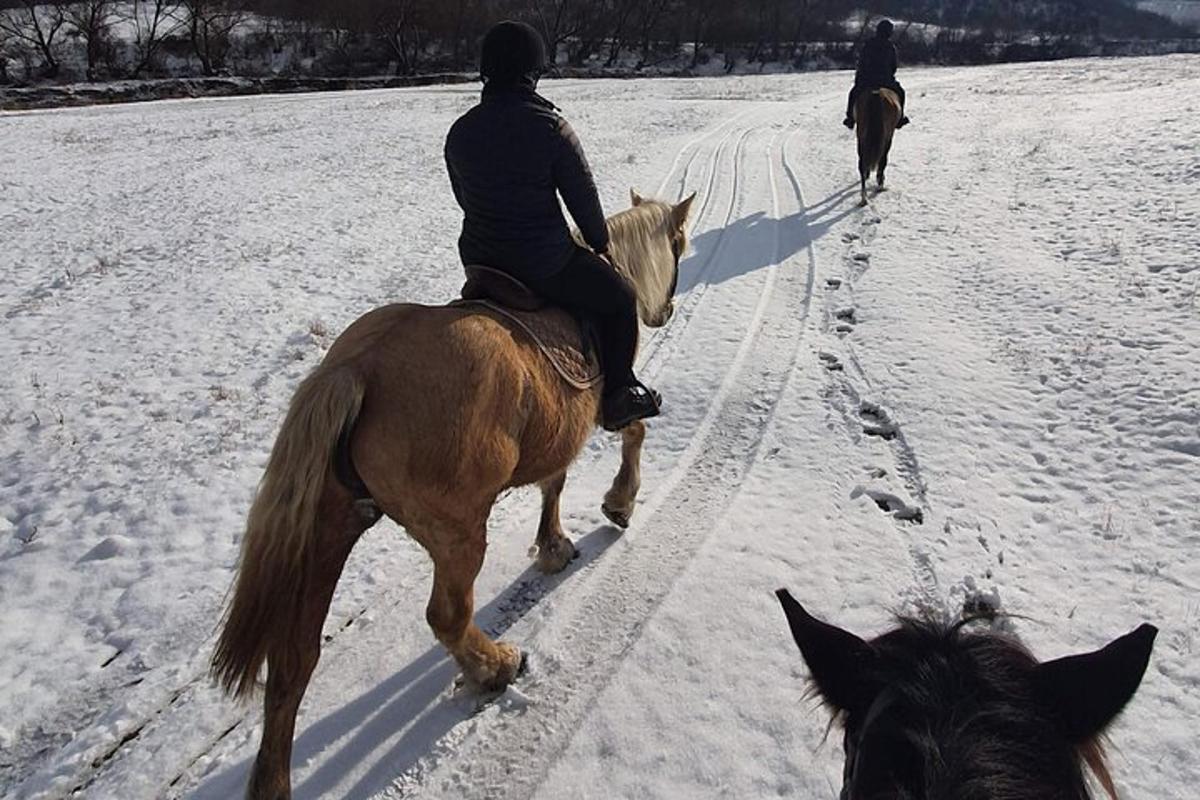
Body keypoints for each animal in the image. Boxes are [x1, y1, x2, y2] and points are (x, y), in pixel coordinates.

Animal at [213, 190, 696, 796]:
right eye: (678, 243)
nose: (666, 312)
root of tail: (356, 369)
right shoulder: (599, 409)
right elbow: (628, 436)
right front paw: (618, 504)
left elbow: (554, 482)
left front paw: (553, 545)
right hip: (457, 531)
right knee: (447, 615)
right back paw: (494, 666)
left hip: (330, 524)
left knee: (293, 659)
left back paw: (273, 779)